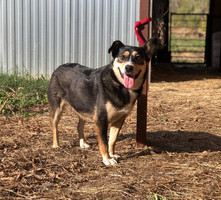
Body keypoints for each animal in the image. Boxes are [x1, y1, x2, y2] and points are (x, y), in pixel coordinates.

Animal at [47, 38, 157, 166]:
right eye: (122, 57)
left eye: (138, 57)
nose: (128, 67)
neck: (120, 86)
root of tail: (59, 67)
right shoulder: (100, 120)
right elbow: (104, 142)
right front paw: (107, 159)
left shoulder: (119, 120)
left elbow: (112, 140)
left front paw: (112, 154)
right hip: (57, 108)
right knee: (54, 126)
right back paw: (56, 145)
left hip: (84, 107)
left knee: (79, 126)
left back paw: (83, 143)